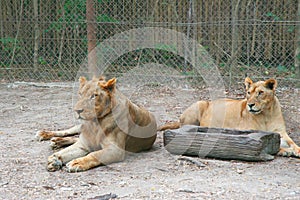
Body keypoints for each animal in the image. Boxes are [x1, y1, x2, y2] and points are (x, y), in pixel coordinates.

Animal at [158, 77, 298, 157]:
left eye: (260, 93)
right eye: (248, 93)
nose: (250, 105)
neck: (266, 114)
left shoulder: (281, 132)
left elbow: (293, 143)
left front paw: (296, 150)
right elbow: (275, 145)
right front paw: (286, 151)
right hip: (200, 103)